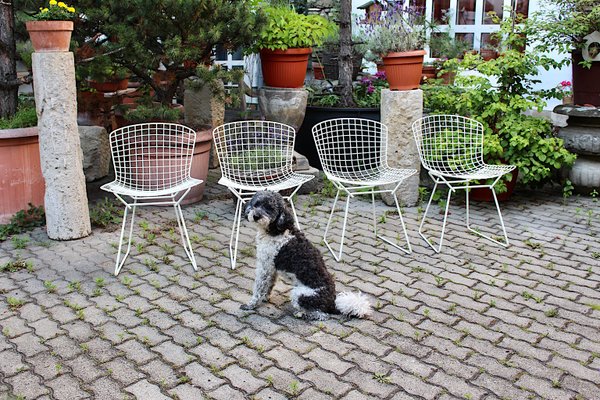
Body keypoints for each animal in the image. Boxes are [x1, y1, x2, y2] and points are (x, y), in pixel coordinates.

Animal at [239, 191, 370, 322]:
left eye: (270, 208)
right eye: (256, 204)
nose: (256, 216)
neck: (275, 231)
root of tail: (332, 303)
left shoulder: (265, 266)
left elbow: (259, 287)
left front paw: (251, 304)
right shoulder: (272, 268)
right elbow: (269, 285)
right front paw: (265, 298)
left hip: (299, 294)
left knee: (321, 315)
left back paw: (301, 314)